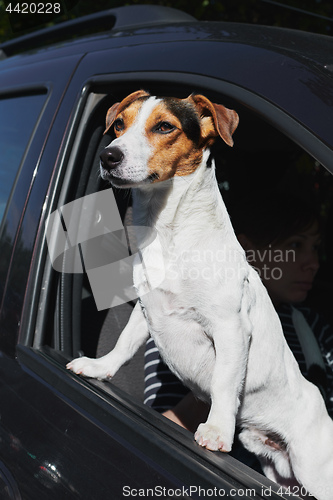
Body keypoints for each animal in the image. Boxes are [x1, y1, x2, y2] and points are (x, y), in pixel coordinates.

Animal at [67, 91, 332, 500]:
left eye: (165, 127)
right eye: (119, 125)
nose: (108, 156)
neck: (168, 231)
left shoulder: (230, 328)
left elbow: (223, 381)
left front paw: (218, 430)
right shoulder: (146, 309)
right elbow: (124, 345)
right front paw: (100, 367)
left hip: (314, 468)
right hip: (278, 469)